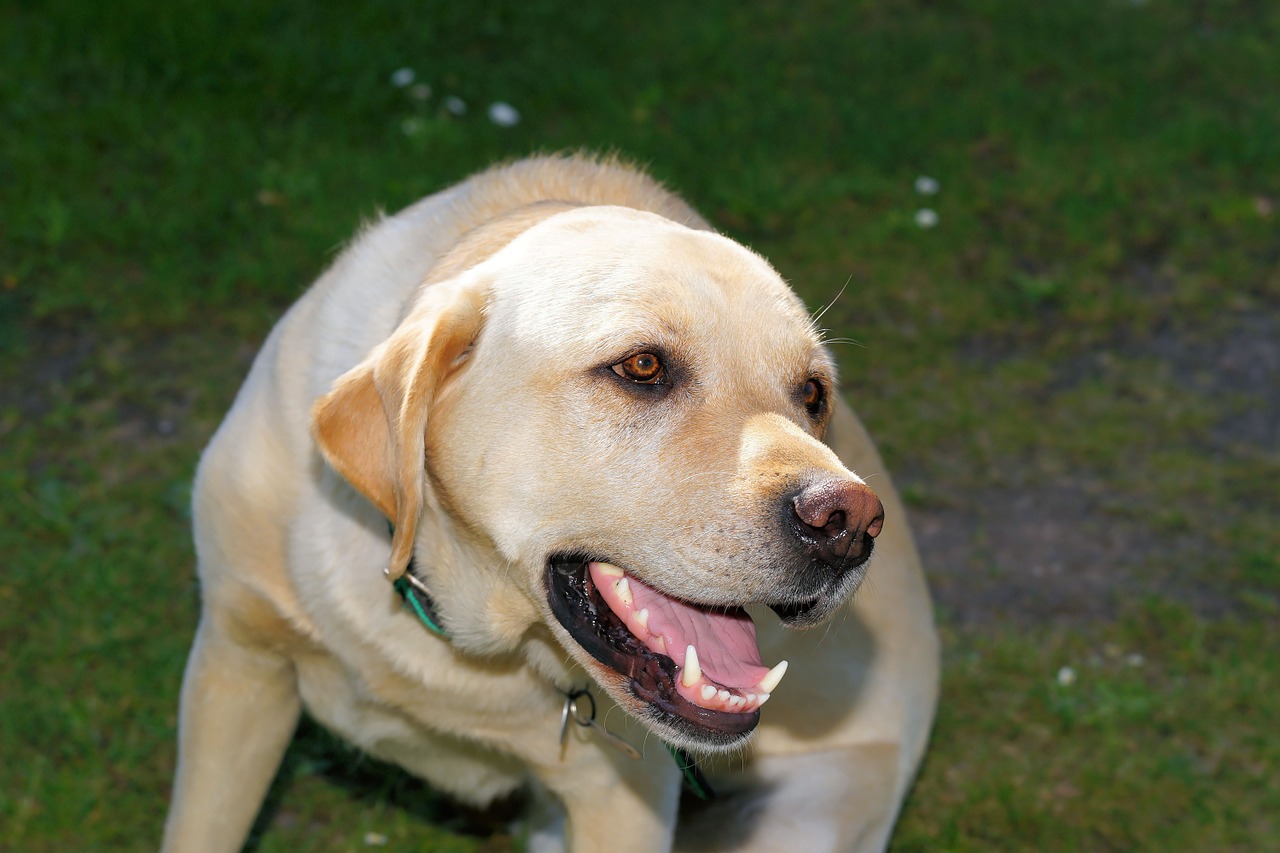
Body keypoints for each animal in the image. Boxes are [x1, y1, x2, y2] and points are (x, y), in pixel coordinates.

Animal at [160, 154, 942, 850]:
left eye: (813, 394)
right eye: (642, 366)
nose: (849, 523)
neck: (460, 630)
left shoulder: (626, 801)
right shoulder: (236, 665)